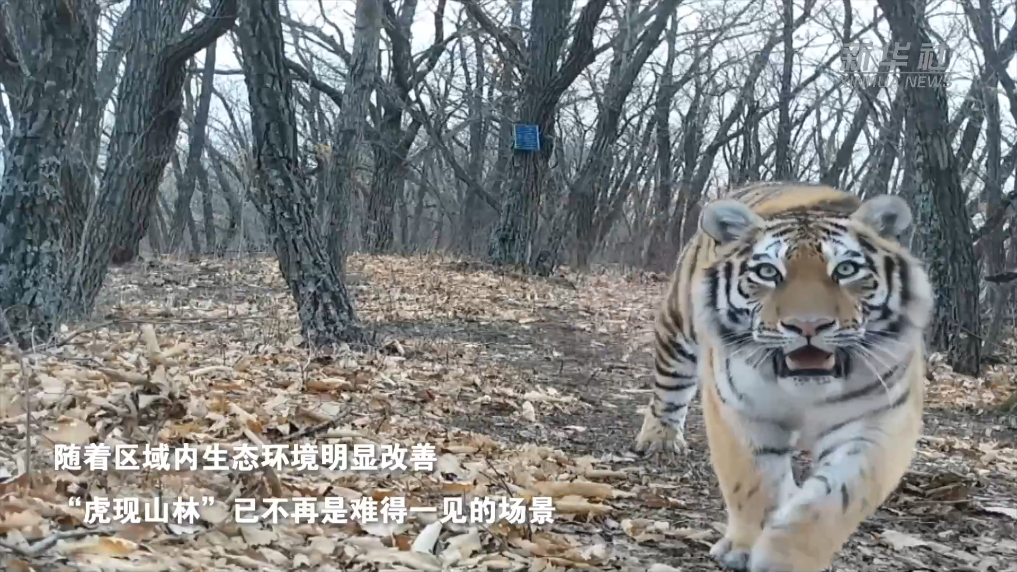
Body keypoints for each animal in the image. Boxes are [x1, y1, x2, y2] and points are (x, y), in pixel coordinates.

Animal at [633, 182, 934, 572]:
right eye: (767, 272)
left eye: (846, 269)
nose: (808, 325)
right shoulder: (740, 410)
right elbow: (753, 481)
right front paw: (744, 547)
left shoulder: (878, 422)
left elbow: (834, 499)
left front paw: (784, 557)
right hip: (677, 329)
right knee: (669, 389)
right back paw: (661, 440)